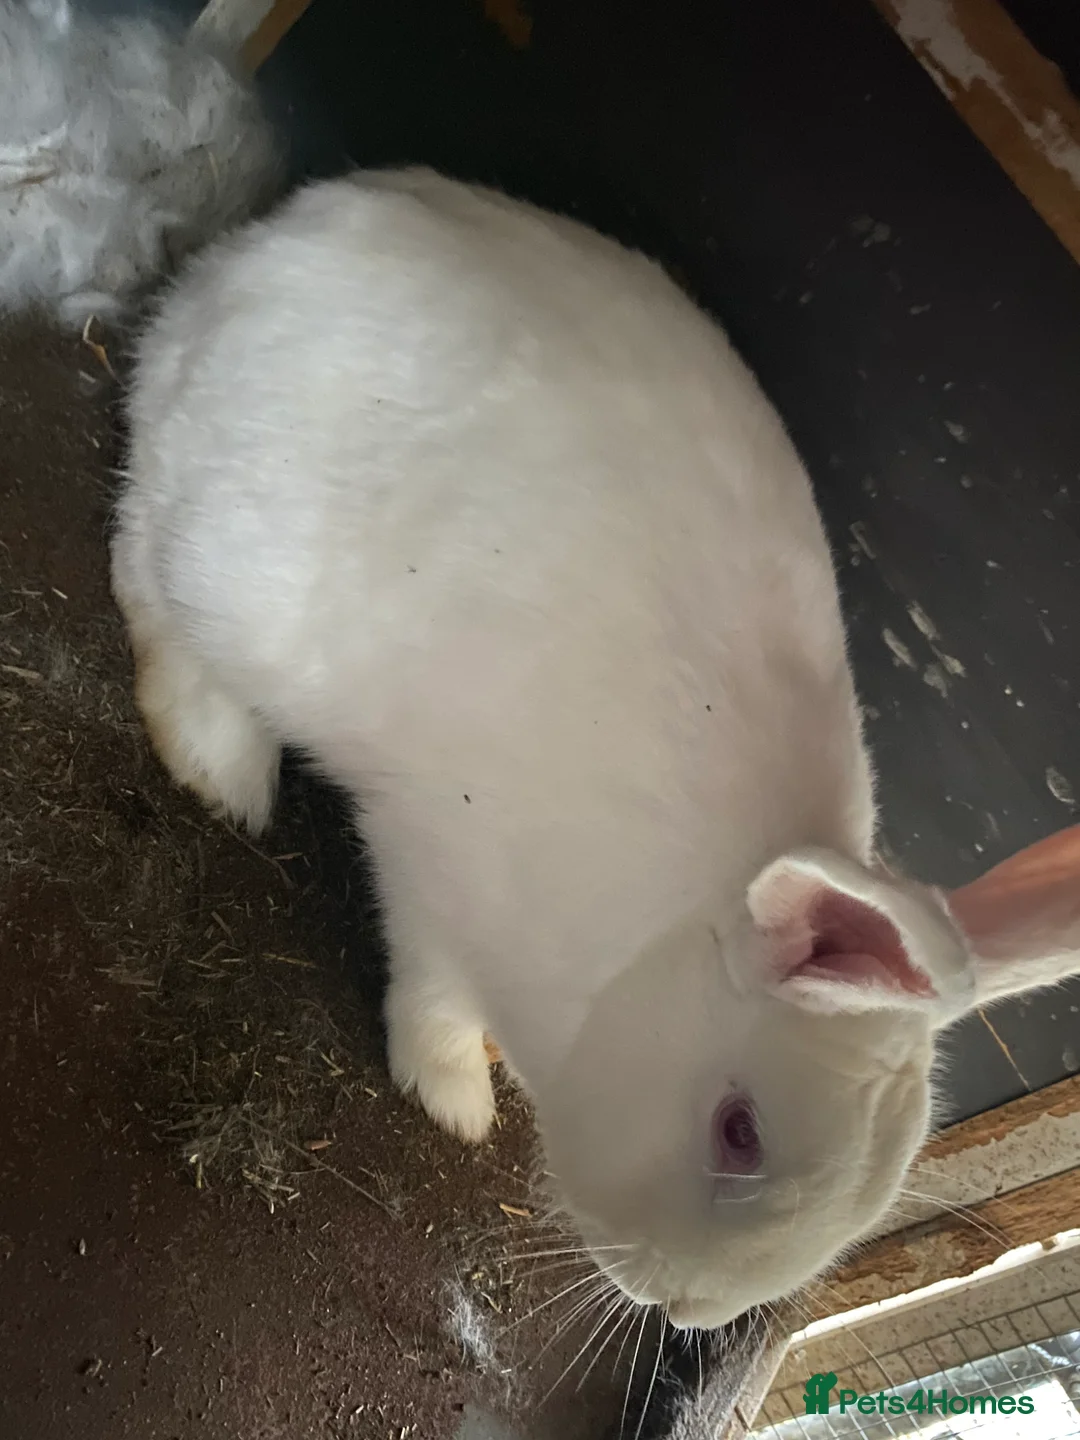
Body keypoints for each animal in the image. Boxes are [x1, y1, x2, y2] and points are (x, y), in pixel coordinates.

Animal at [110, 166, 1080, 1331]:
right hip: (229, 554)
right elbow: (434, 996)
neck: (647, 950)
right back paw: (217, 764)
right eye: (738, 1133)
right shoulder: (437, 887)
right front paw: (455, 1097)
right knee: (143, 564)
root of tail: (263, 248)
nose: (685, 1311)